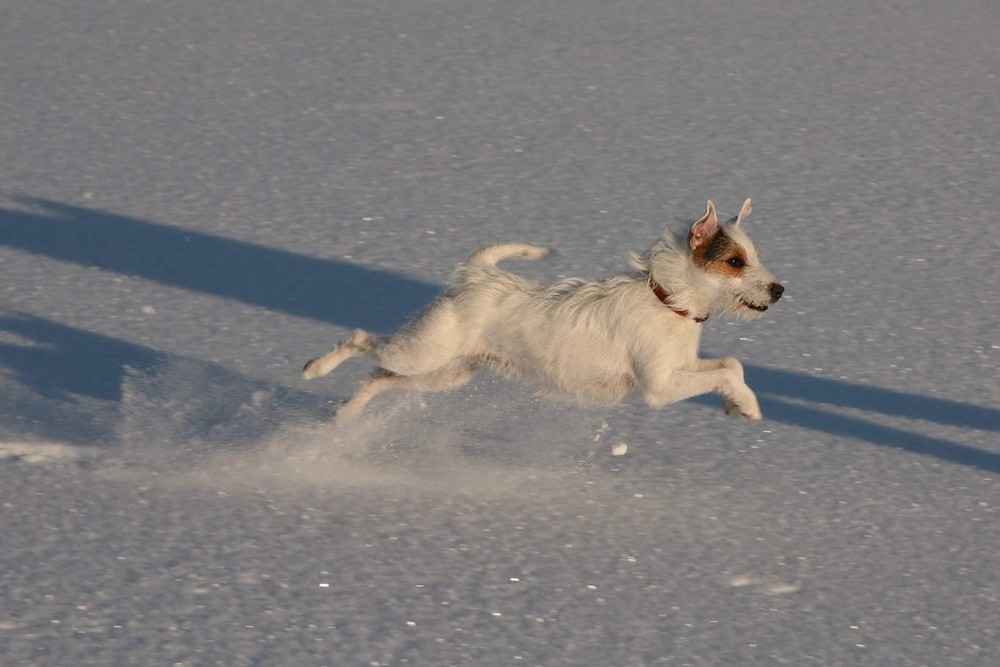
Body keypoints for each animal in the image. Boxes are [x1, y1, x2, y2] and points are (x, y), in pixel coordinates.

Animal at [300, 198, 784, 422]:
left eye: (754, 256)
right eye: (735, 262)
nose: (779, 290)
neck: (668, 302)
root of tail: (478, 276)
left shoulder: (682, 366)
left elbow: (731, 365)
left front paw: (736, 404)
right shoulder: (660, 387)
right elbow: (725, 372)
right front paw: (746, 403)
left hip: (446, 373)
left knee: (379, 377)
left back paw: (346, 414)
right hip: (423, 352)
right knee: (360, 340)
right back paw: (314, 368)